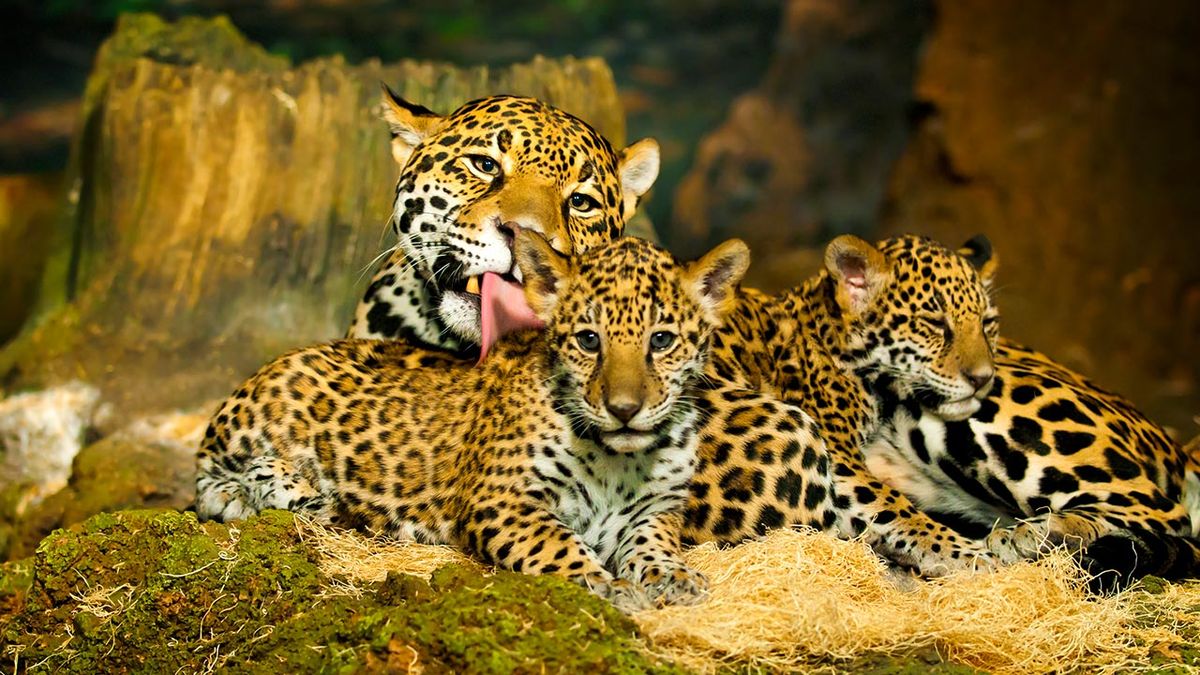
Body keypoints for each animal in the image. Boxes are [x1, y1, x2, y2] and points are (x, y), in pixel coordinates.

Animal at [196, 232, 758, 612]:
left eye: (661, 341)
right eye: (588, 340)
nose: (624, 409)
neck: (620, 462)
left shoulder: (657, 508)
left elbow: (654, 544)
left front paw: (671, 576)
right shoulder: (502, 499)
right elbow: (560, 546)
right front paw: (607, 585)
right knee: (215, 481)